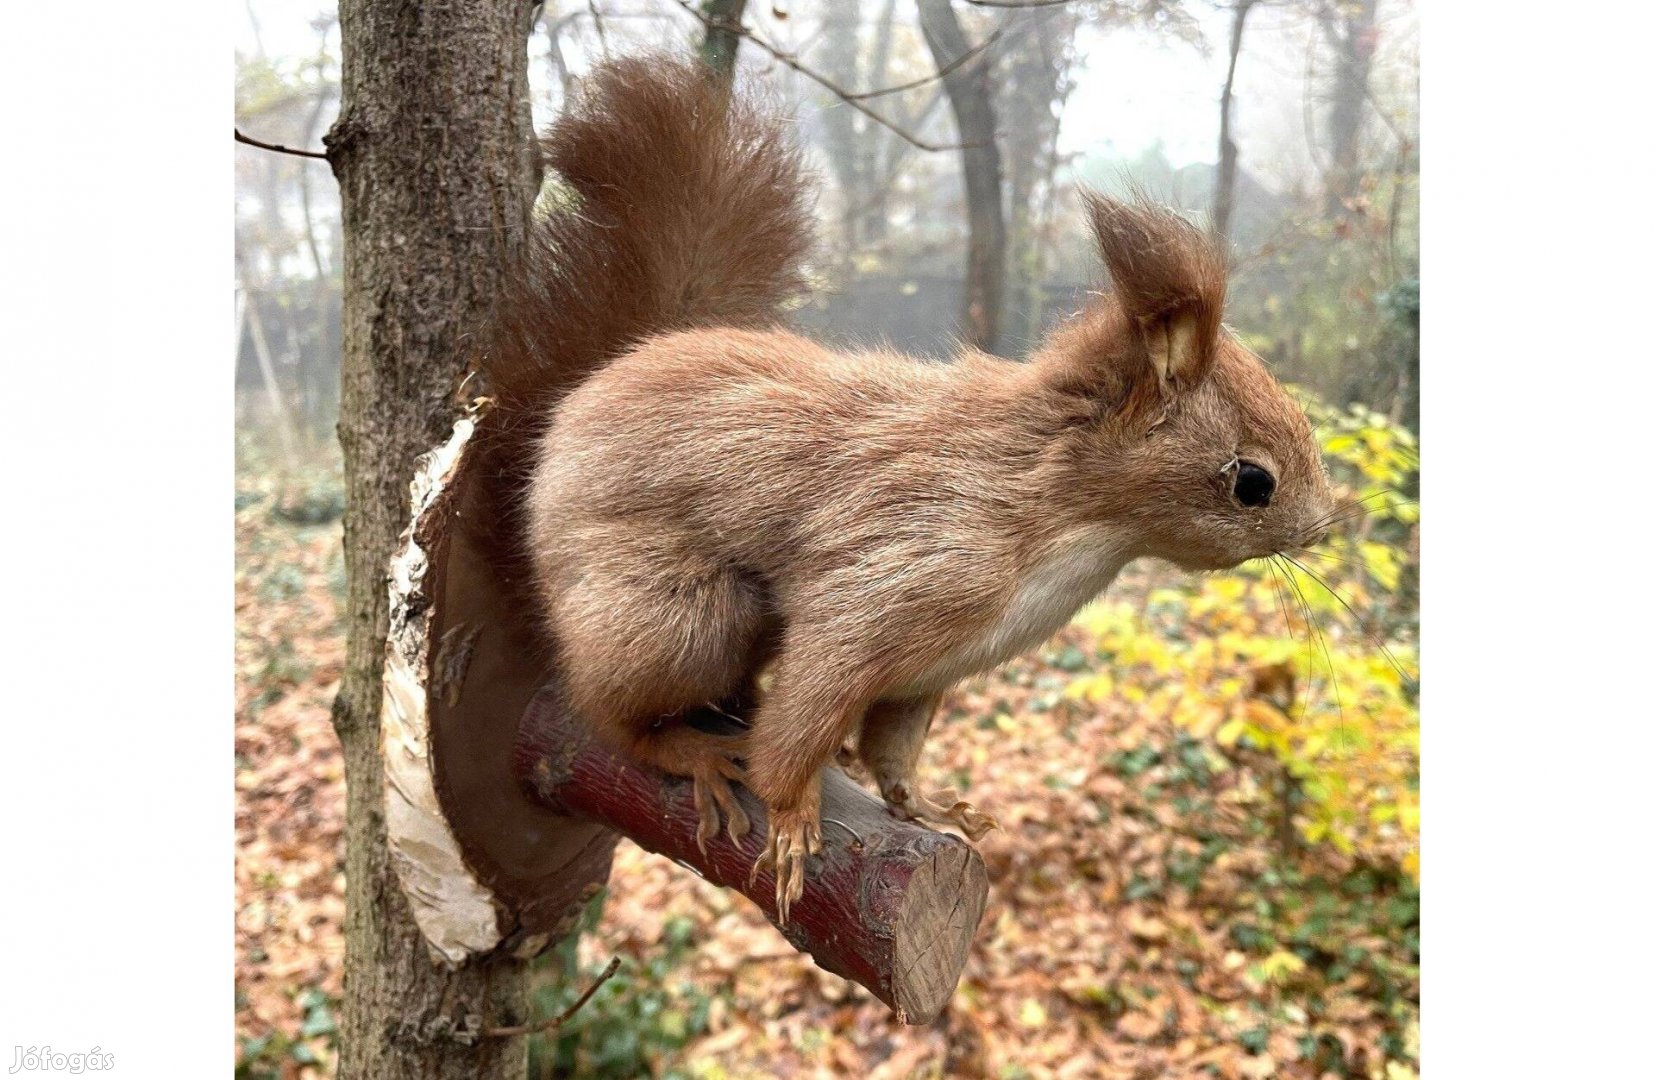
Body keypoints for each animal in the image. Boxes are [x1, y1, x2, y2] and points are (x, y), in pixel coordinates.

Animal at [473, 54, 1338, 920]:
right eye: (1252, 482)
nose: (1324, 525)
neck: (1063, 518)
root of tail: (567, 418)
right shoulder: (892, 580)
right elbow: (800, 726)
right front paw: (793, 822)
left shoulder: (935, 667)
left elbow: (891, 747)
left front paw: (922, 802)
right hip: (673, 614)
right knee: (606, 710)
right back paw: (689, 750)